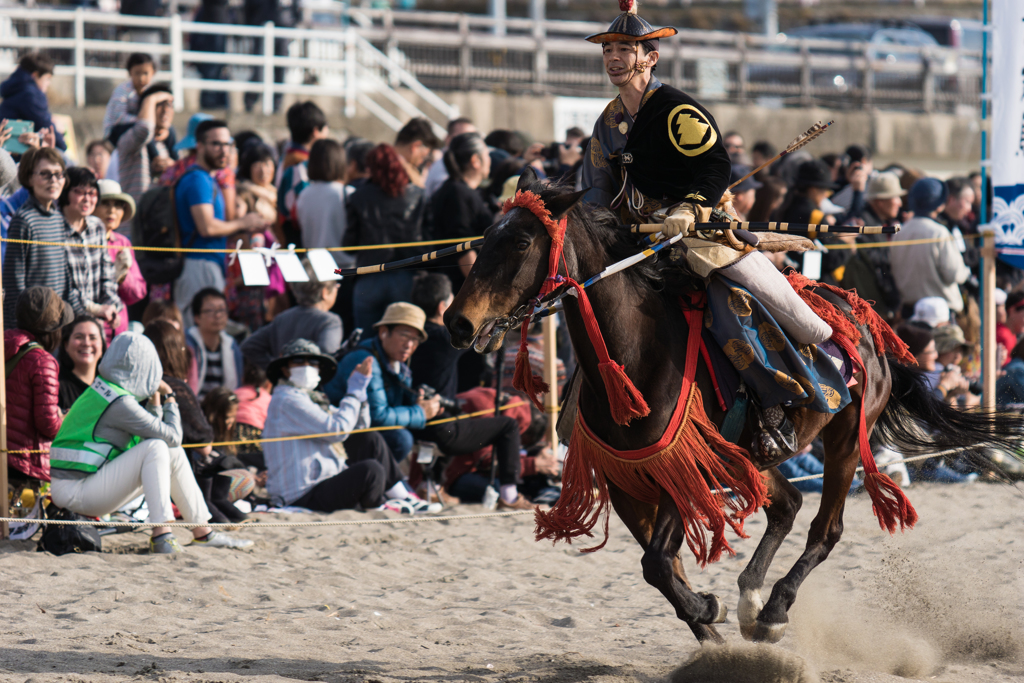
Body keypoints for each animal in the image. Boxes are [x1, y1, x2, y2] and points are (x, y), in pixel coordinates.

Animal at [442, 169, 1024, 647]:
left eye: (520, 241)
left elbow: (658, 562)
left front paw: (709, 609)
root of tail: (867, 322)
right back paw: (750, 598)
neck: (636, 358)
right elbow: (662, 566)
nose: (457, 323)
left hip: (841, 439)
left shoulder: (684, 468)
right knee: (787, 504)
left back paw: (773, 610)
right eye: (484, 239)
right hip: (748, 457)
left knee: (825, 529)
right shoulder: (632, 481)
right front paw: (710, 626)